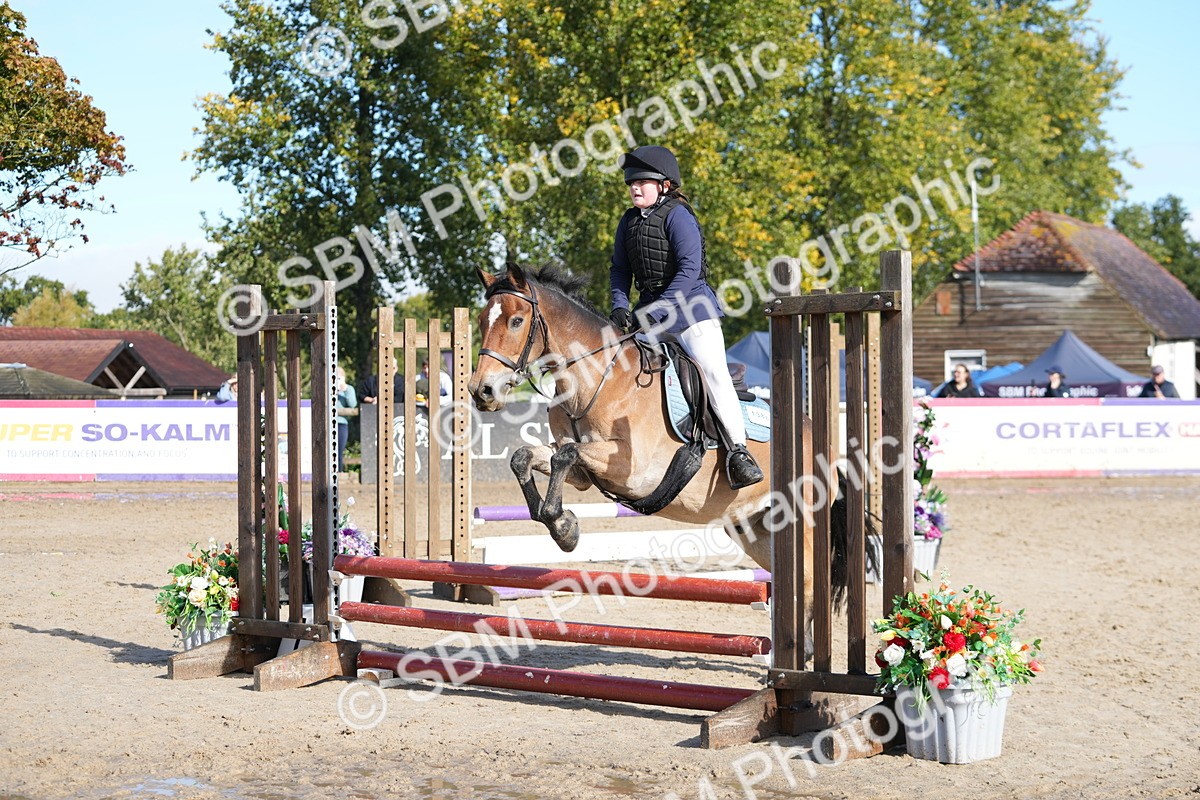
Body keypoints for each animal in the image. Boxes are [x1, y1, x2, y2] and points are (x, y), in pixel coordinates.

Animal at [467, 263, 850, 629]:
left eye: (516, 321)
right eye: (482, 320)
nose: (481, 391)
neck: (596, 378)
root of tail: (825, 446)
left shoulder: (632, 471)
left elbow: (565, 454)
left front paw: (563, 528)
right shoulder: (583, 475)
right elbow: (526, 457)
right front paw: (563, 525)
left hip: (801, 522)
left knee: (809, 589)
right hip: (755, 527)